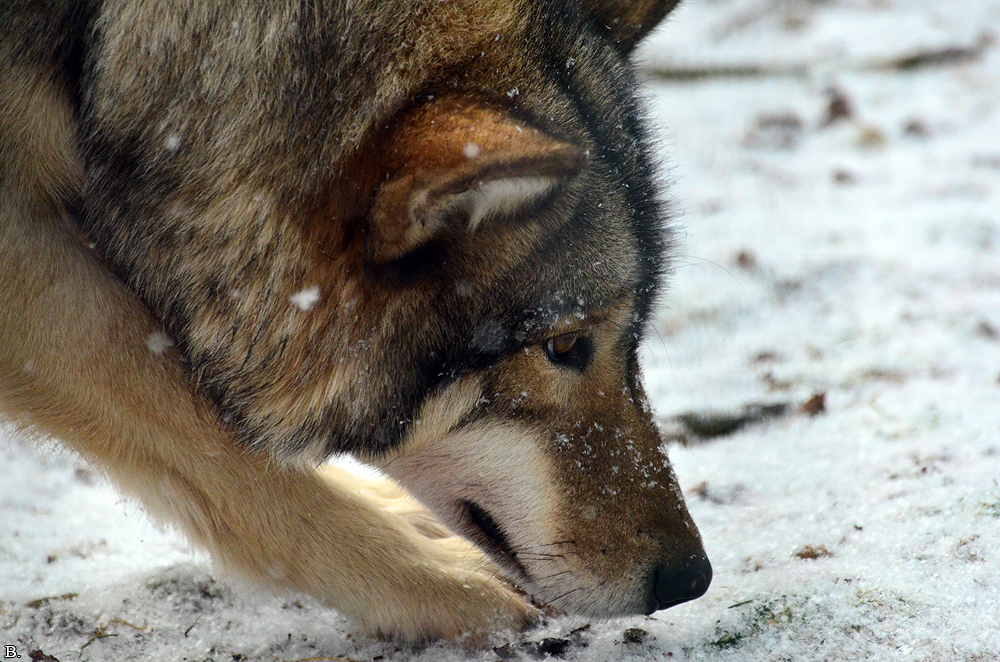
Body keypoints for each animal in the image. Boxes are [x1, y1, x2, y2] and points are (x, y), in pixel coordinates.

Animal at [0, 0, 710, 644]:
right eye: (563, 345)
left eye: (633, 340)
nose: (692, 579)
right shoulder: (29, 269)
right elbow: (222, 448)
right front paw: (434, 579)